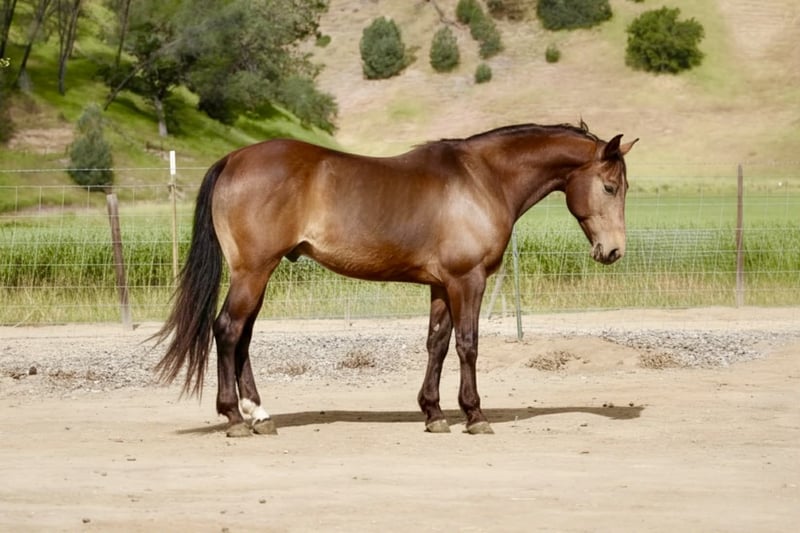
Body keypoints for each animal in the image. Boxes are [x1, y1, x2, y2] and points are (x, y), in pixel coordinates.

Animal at [153, 121, 637, 437]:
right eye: (610, 187)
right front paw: (474, 416)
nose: (612, 251)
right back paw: (235, 418)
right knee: (228, 331)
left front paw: (434, 413)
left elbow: (437, 344)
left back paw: (259, 415)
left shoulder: (442, 285)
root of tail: (233, 158)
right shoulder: (468, 281)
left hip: (258, 275)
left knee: (243, 338)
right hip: (253, 272)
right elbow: (468, 345)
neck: (481, 179)